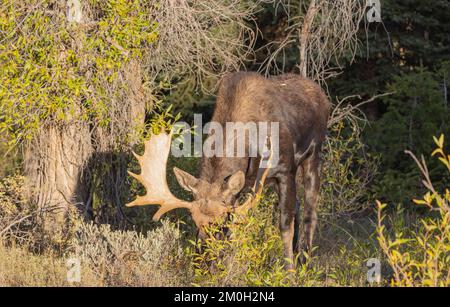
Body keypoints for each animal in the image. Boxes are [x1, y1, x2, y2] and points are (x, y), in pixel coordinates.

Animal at [126, 72, 330, 270]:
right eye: (195, 222)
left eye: (218, 223)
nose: (202, 263)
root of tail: (322, 95)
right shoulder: (238, 192)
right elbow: (234, 231)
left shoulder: (285, 171)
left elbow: (285, 225)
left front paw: (289, 272)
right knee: (298, 207)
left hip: (314, 155)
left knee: (310, 213)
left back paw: (305, 263)